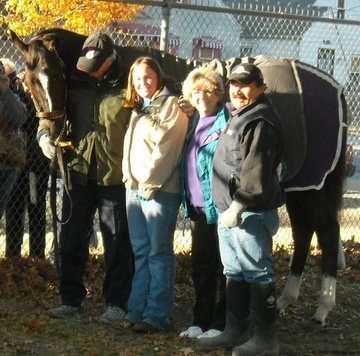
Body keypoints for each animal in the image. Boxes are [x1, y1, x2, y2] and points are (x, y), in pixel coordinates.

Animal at [11, 28, 348, 326]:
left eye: (57, 76)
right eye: (28, 80)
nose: (53, 130)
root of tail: (336, 88)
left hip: (312, 187)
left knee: (327, 231)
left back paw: (322, 308)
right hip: (299, 187)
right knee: (304, 232)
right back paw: (284, 300)